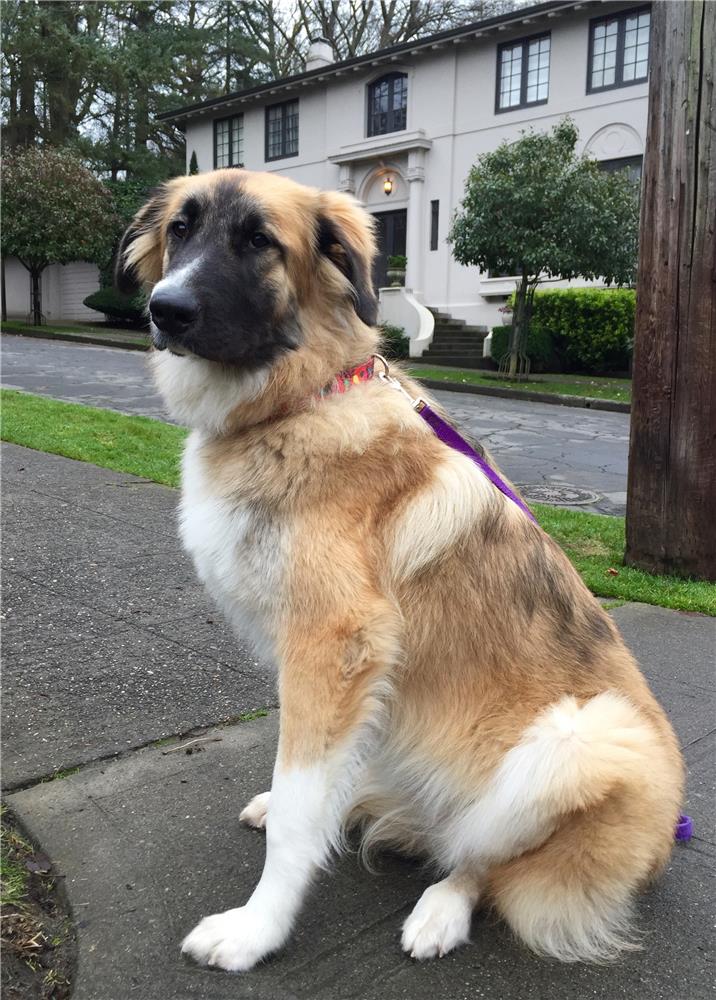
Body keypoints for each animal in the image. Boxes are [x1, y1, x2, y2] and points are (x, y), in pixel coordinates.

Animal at [117, 168, 684, 972]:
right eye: (180, 230)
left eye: (259, 241)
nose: (165, 310)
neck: (300, 396)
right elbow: (305, 791)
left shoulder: (334, 648)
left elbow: (301, 814)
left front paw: (258, 929)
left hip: (587, 739)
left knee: (480, 856)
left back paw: (441, 909)